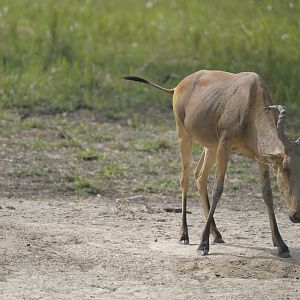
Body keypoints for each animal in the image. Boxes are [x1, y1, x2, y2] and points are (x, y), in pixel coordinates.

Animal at [123, 71, 298, 258]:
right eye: (286, 168)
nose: (296, 216)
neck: (250, 96)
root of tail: (178, 86)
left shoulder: (260, 156)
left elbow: (267, 193)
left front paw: (282, 245)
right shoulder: (225, 145)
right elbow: (218, 189)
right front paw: (202, 246)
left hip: (210, 146)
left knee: (199, 176)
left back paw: (217, 234)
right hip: (184, 134)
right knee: (185, 179)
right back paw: (184, 235)